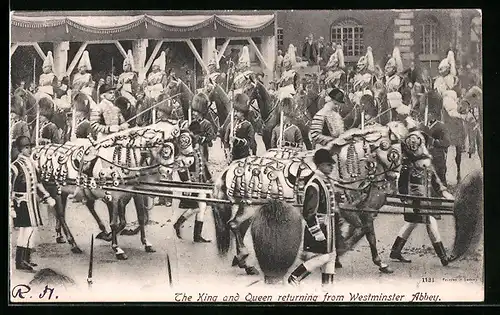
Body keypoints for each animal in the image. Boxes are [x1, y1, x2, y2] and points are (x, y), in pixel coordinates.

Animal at [31, 121, 197, 260]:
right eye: (167, 149)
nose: (190, 161)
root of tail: (37, 151)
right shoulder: (114, 197)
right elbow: (115, 223)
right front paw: (117, 248)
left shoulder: (133, 195)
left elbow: (139, 218)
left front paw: (145, 243)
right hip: (55, 191)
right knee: (60, 214)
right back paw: (73, 244)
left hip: (63, 192)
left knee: (65, 212)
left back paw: (65, 236)